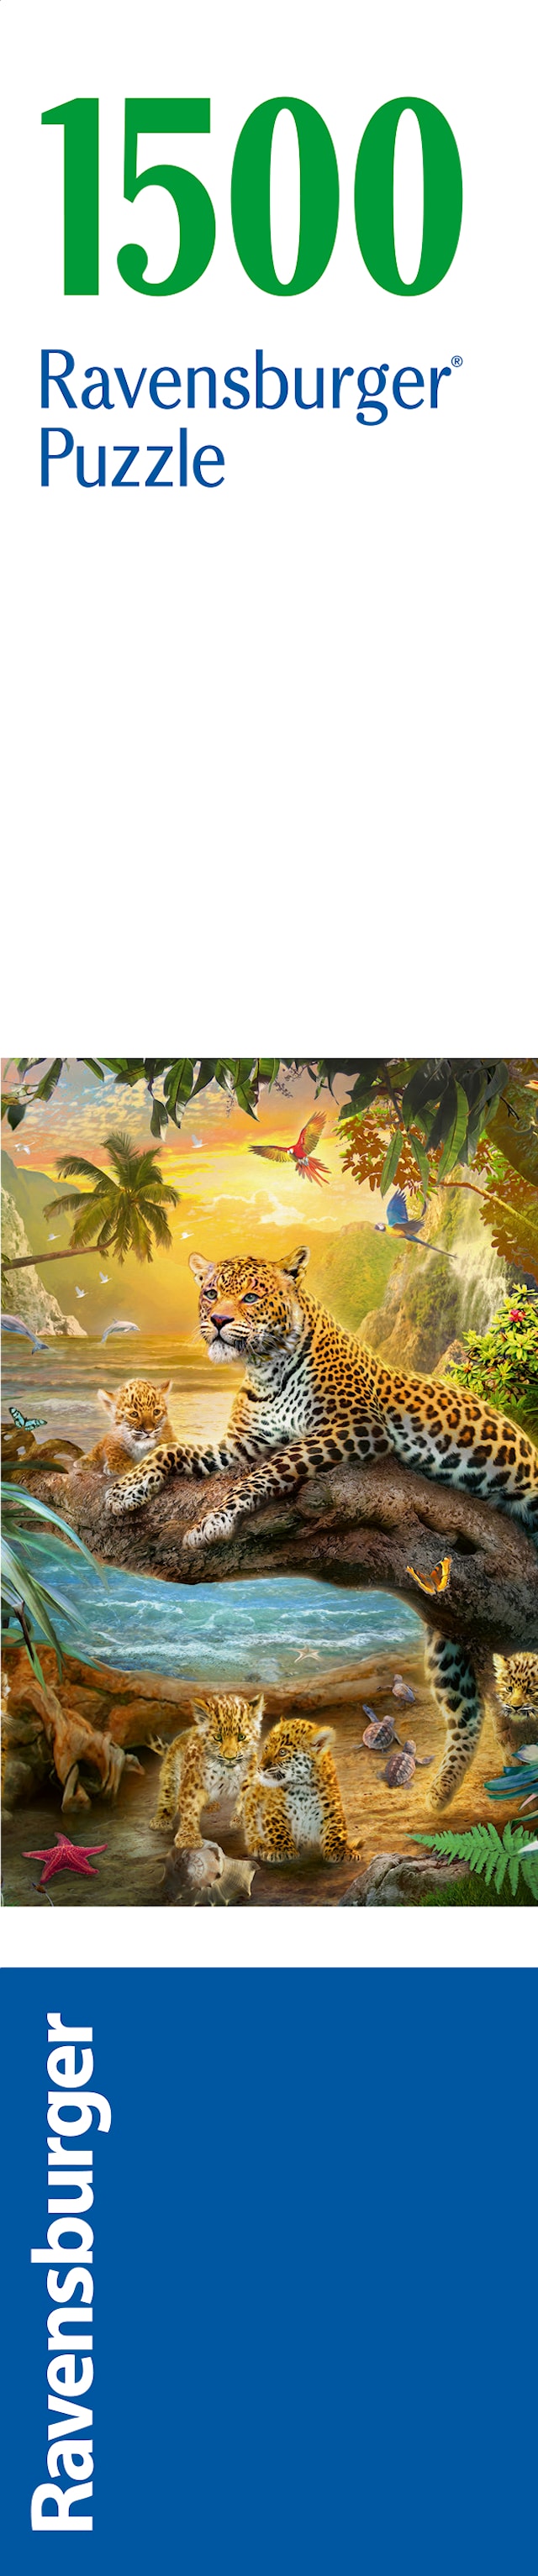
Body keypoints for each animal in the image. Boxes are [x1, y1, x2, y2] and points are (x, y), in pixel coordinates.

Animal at [106, 1246, 538, 1805]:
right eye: (211, 1292)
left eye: (251, 1297)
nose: (218, 1321)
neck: (265, 1369)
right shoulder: (241, 1444)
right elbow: (172, 1451)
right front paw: (125, 1491)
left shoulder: (352, 1428)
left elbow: (276, 1467)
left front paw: (214, 1520)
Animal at [151, 1691, 264, 1849]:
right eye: (218, 1737)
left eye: (241, 1737)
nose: (230, 1758)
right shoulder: (192, 1783)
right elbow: (190, 1809)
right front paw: (188, 1839)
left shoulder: (249, 1779)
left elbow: (245, 1801)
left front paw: (241, 1822)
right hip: (172, 1774)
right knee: (167, 1796)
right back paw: (161, 1820)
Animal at [241, 1716, 359, 1865]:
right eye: (266, 1747)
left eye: (282, 1752)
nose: (260, 1768)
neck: (302, 1787)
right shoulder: (273, 1809)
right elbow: (278, 1829)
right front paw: (282, 1850)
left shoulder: (331, 1809)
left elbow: (336, 1830)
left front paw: (340, 1850)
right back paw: (259, 1845)